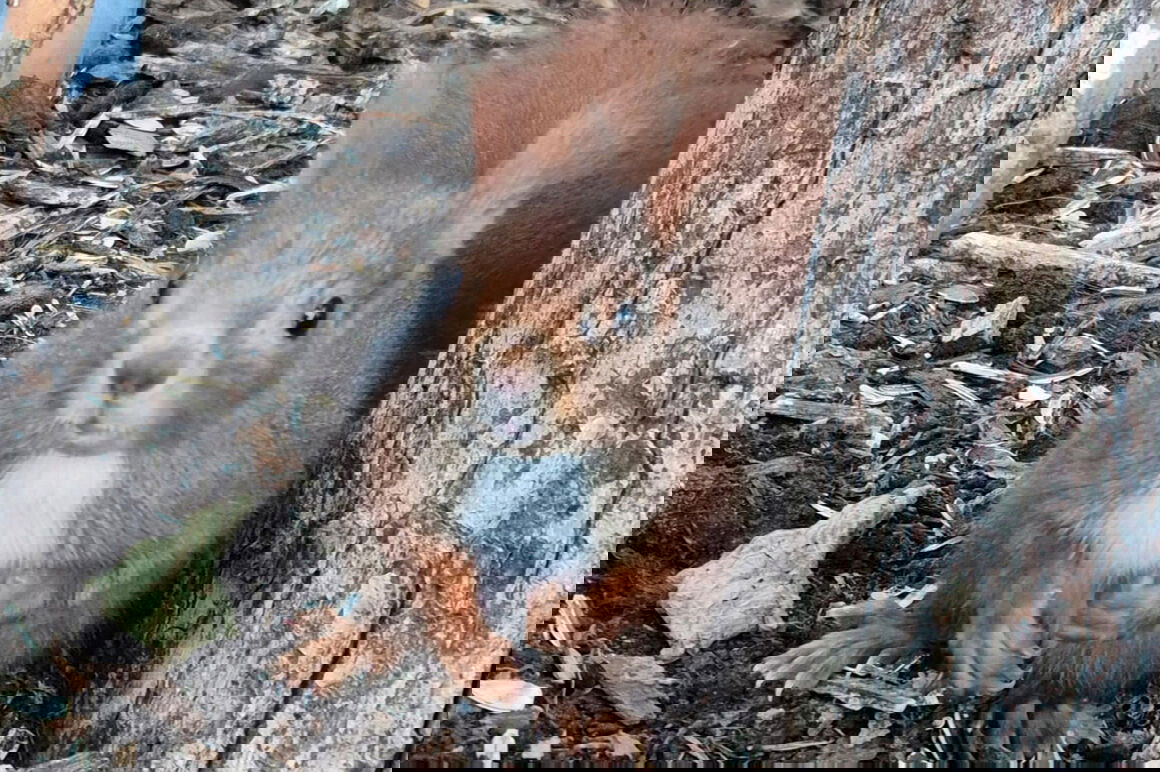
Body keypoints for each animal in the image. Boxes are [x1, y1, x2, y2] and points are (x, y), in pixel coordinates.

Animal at [760, 365, 1160, 761]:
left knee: (1075, 672)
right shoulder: (1092, 489)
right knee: (946, 611)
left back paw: (1039, 710)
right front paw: (988, 644)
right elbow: (1049, 552)